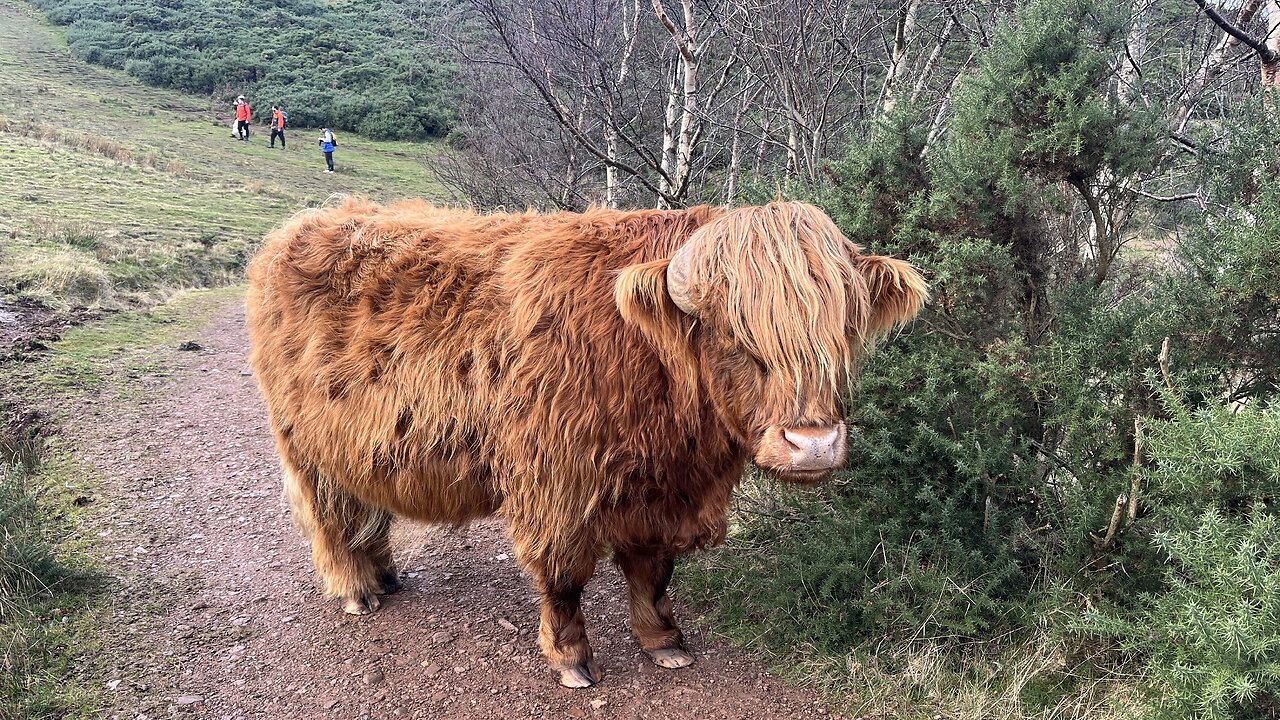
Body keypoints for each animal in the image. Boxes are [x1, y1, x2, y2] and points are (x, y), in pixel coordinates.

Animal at [247, 194, 931, 681]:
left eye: (841, 333)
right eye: (737, 338)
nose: (812, 444)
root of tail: (300, 227)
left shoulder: (661, 494)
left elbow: (654, 572)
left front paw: (663, 642)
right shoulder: (555, 484)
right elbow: (564, 576)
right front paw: (572, 656)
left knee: (366, 512)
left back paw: (385, 576)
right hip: (304, 447)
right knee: (331, 517)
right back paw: (357, 591)